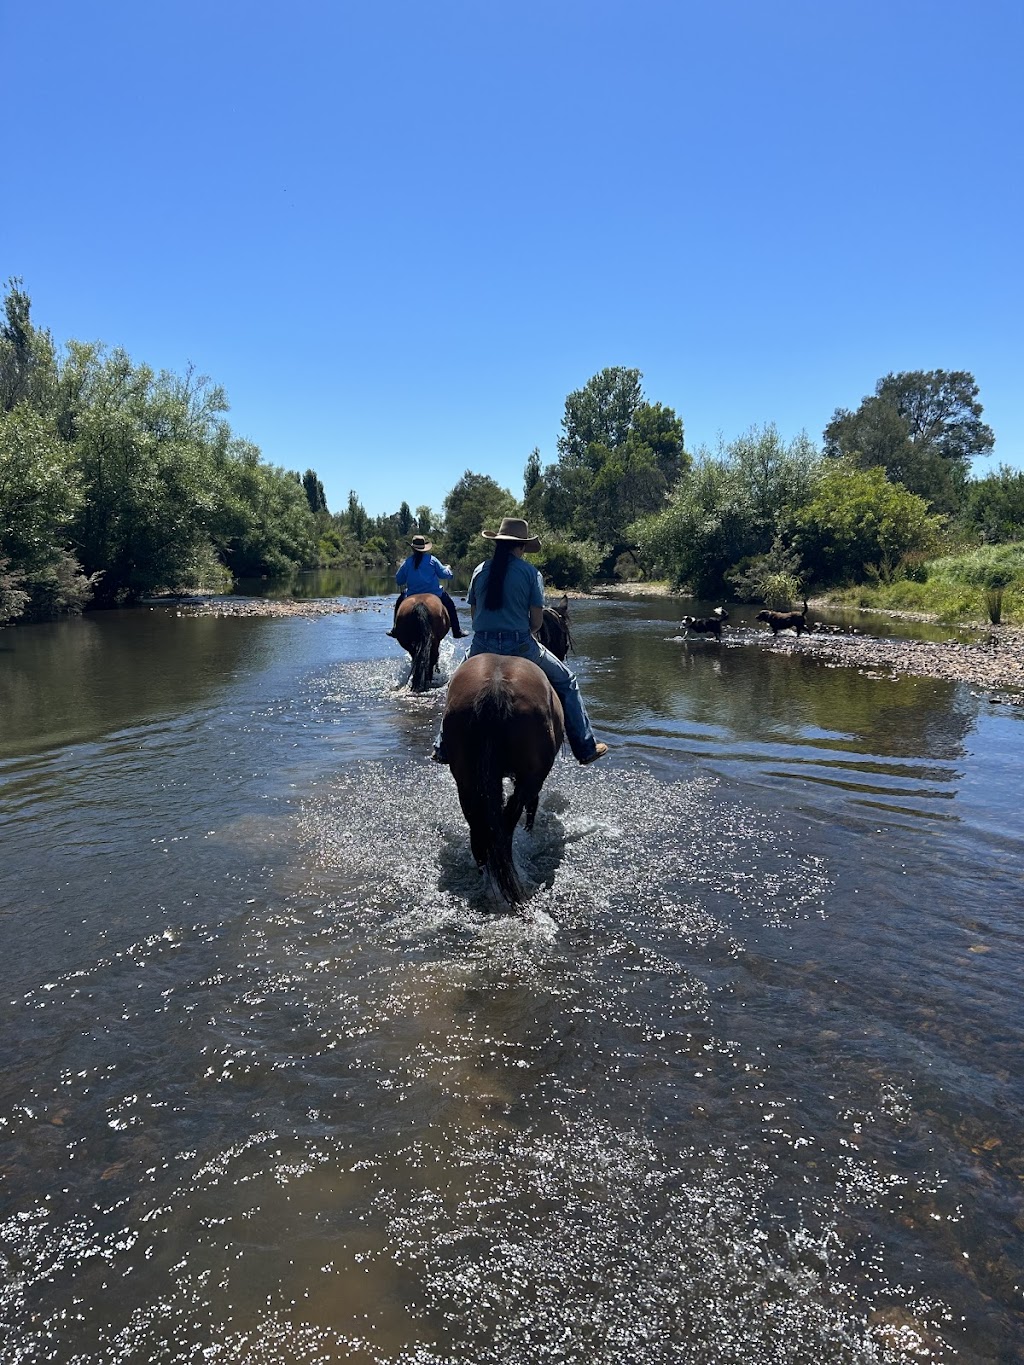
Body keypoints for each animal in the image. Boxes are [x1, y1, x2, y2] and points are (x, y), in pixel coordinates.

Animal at [440, 653, 565, 906]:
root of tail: (495, 688)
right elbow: (532, 805)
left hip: (466, 782)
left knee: (480, 831)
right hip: (530, 777)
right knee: (506, 826)